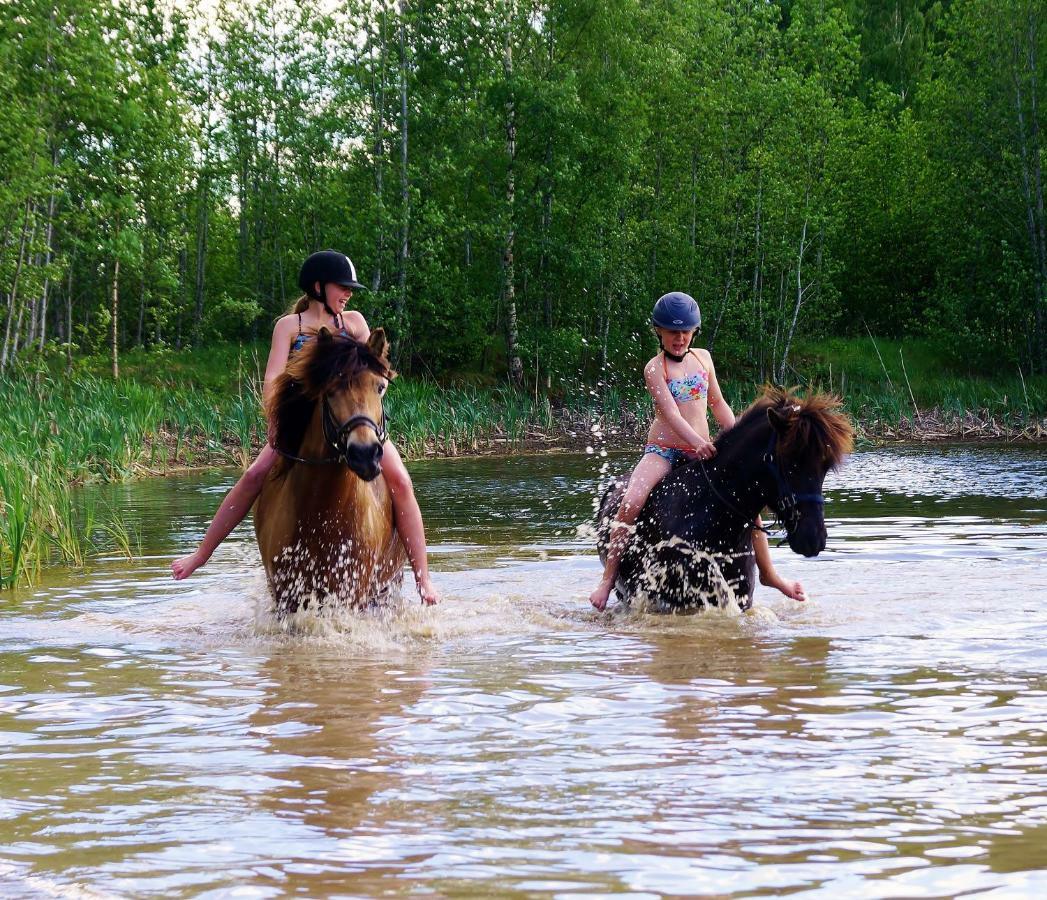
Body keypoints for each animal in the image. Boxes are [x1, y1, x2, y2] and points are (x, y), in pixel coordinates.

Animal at [255, 326, 406, 615]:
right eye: (331, 390)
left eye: (380, 387)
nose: (365, 454)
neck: (322, 515)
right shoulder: (285, 595)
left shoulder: (352, 594)